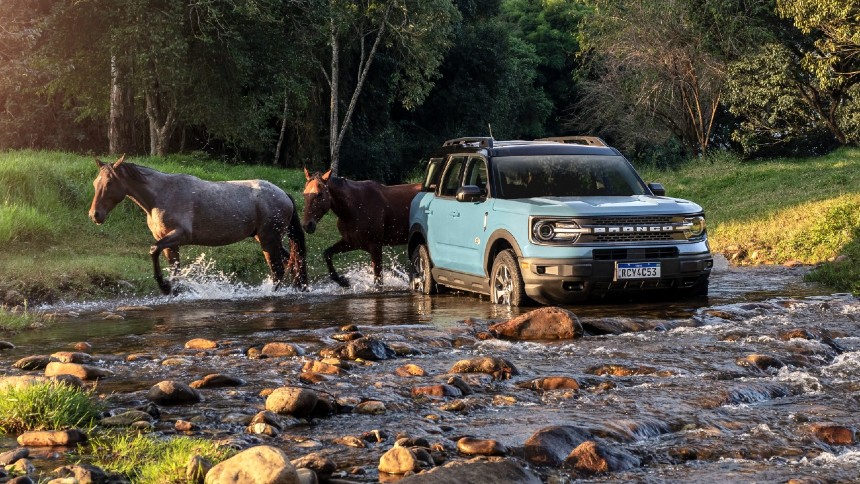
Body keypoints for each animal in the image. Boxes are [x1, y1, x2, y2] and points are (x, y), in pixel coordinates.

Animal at [87, 155, 308, 294]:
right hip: (268, 239)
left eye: (109, 183)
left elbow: (153, 251)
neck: (160, 196)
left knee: (279, 270)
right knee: (291, 262)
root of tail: (283, 194)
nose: (94, 215)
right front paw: (174, 290)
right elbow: (174, 269)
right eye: (95, 183)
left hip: (268, 240)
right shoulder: (170, 243)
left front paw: (164, 287)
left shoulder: (179, 235)